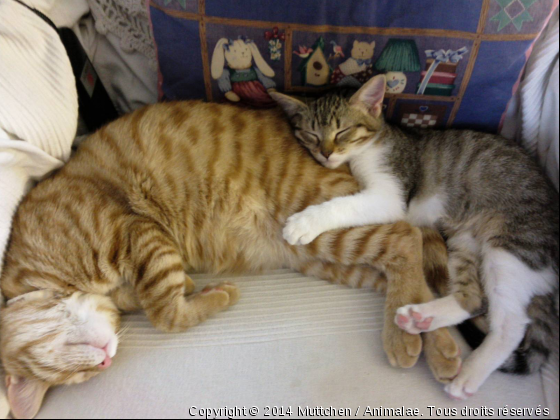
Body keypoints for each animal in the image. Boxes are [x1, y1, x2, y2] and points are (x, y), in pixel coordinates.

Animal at [0, 101, 460, 416]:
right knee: (406, 276)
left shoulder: (137, 232)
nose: (105, 360)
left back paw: (404, 339)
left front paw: (214, 295)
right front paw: (193, 289)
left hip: (315, 220)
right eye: (83, 376)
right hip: (326, 255)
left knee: (405, 236)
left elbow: (165, 313)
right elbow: (161, 298)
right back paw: (431, 341)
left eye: (65, 364)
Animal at [270, 74, 556, 400]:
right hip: (464, 240)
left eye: (342, 131)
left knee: (511, 323)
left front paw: (304, 222)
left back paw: (469, 373)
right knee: (475, 299)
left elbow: (346, 204)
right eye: (311, 134)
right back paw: (422, 317)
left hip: (512, 245)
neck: (372, 145)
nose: (326, 153)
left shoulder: (390, 194)